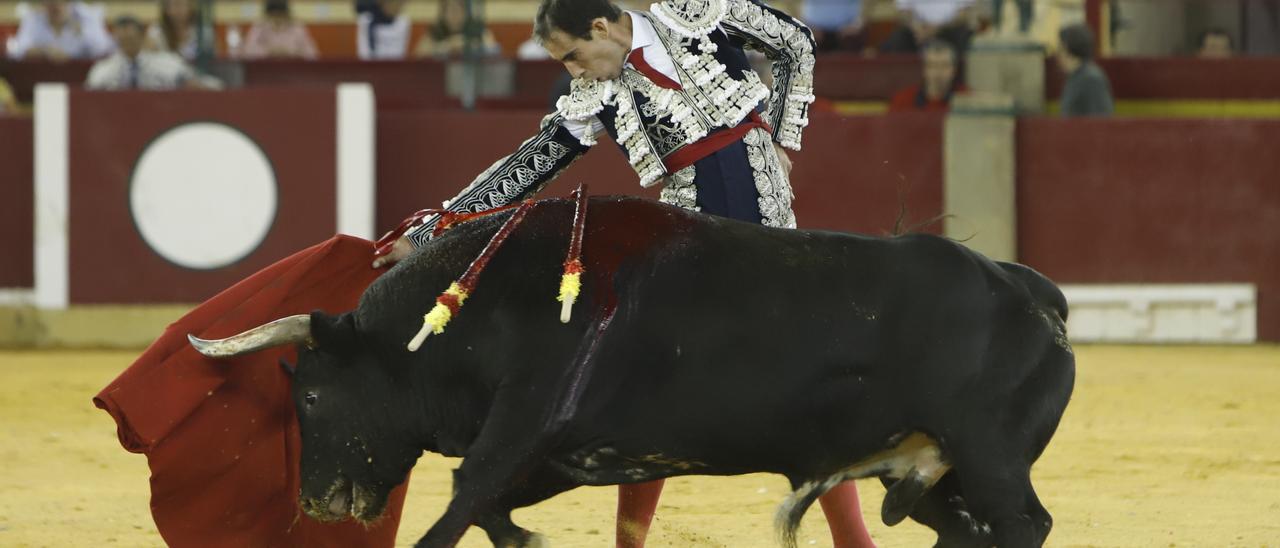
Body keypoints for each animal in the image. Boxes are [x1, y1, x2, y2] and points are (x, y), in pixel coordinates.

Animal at [186, 197, 1070, 548]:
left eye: (310, 392)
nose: (314, 502)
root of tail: (1032, 291)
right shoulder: (566, 456)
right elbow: (493, 509)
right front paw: (528, 538)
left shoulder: (519, 427)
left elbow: (460, 504)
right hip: (930, 471)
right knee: (971, 531)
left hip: (988, 459)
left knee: (1024, 524)